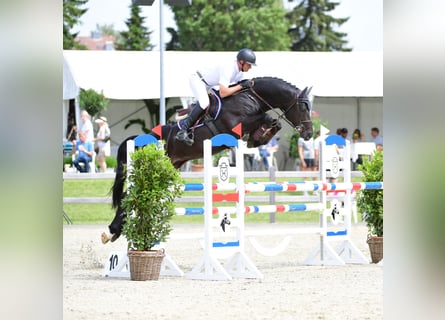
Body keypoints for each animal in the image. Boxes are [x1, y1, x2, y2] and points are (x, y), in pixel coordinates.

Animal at [103, 77, 312, 242]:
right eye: (303, 106)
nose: (309, 134)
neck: (251, 97)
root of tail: (137, 140)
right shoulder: (235, 126)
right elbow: (267, 117)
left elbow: (271, 125)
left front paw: (258, 138)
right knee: (128, 195)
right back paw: (112, 230)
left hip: (167, 168)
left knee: (132, 196)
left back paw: (116, 230)